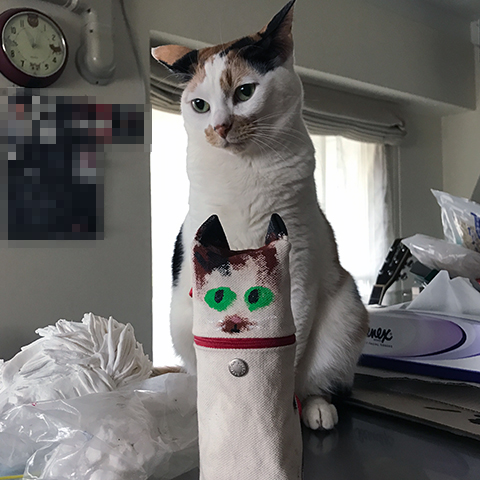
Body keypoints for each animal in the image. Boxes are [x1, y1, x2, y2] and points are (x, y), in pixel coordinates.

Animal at [151, 0, 369, 430]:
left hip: (346, 314)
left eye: (245, 91)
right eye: (199, 105)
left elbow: (288, 349)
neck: (245, 172)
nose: (220, 127)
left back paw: (315, 408)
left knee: (313, 381)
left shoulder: (297, 265)